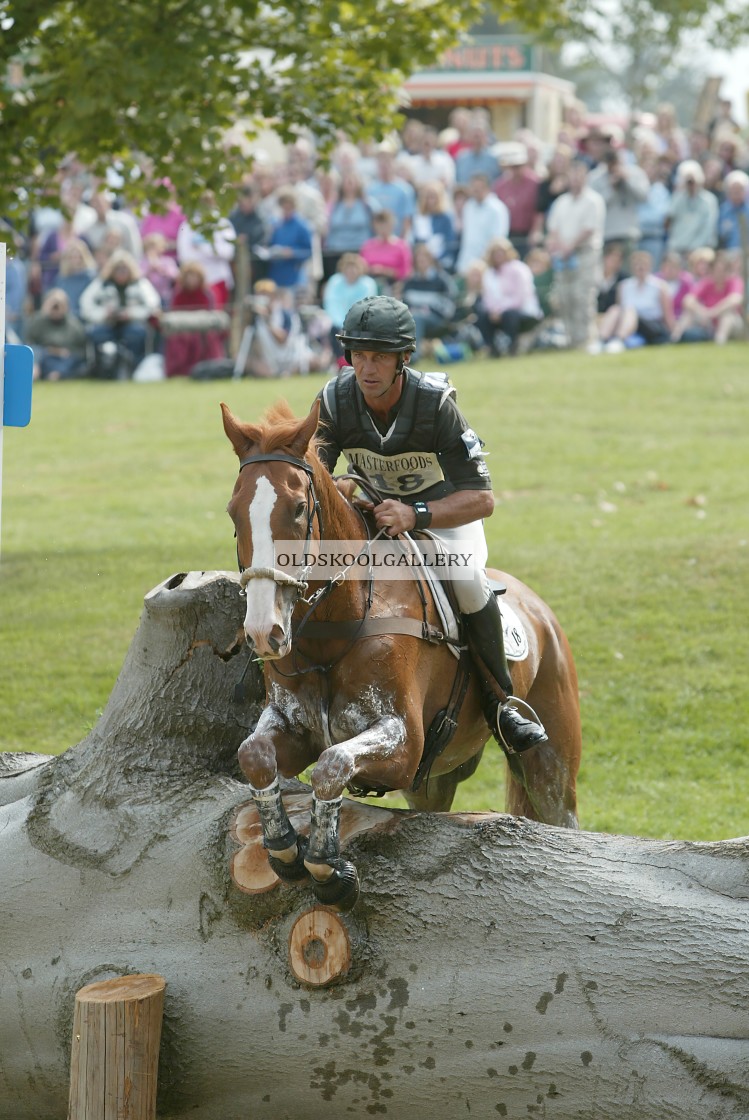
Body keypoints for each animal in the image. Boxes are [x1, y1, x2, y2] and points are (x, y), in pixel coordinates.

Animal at [219, 400, 582, 909]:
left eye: (298, 509)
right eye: (233, 513)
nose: (262, 633)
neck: (334, 626)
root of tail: (539, 608)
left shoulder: (403, 743)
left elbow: (332, 766)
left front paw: (328, 870)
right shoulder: (293, 728)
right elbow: (254, 755)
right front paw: (284, 849)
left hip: (550, 763)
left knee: (561, 812)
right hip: (432, 781)